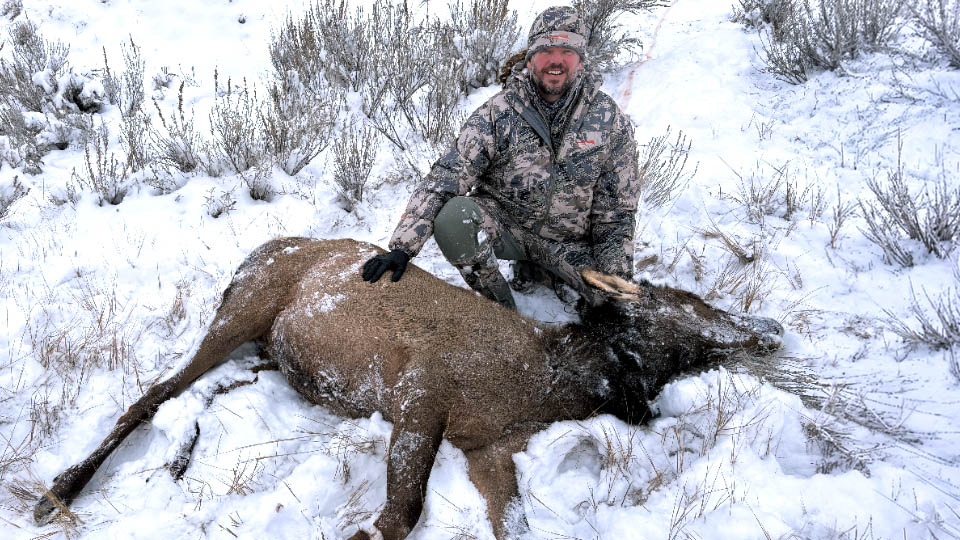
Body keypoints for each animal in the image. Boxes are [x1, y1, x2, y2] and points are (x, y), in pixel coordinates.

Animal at [32, 237, 783, 540]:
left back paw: (178, 462)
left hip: (274, 354)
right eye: (682, 305)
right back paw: (60, 488)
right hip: (244, 308)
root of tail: (253, 254)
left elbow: (514, 521)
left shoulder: (488, 448)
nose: (768, 329)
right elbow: (402, 511)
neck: (541, 387)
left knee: (204, 394)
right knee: (153, 391)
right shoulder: (422, 392)